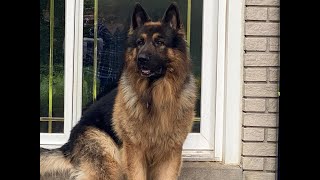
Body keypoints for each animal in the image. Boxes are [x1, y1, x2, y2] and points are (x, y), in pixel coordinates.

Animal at [39, 2, 195, 180]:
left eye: (160, 42)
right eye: (140, 42)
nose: (141, 59)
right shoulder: (135, 153)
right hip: (110, 158)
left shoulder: (171, 154)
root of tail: (68, 145)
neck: (155, 96)